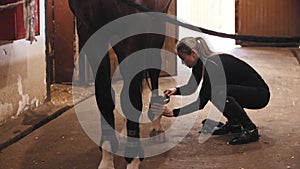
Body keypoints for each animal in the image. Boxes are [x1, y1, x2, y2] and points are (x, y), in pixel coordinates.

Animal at [67, 0, 171, 168]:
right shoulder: (90, 30)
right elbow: (104, 96)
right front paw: (107, 156)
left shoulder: (138, 24)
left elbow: (131, 95)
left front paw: (133, 157)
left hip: (157, 21)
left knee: (153, 66)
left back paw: (156, 124)